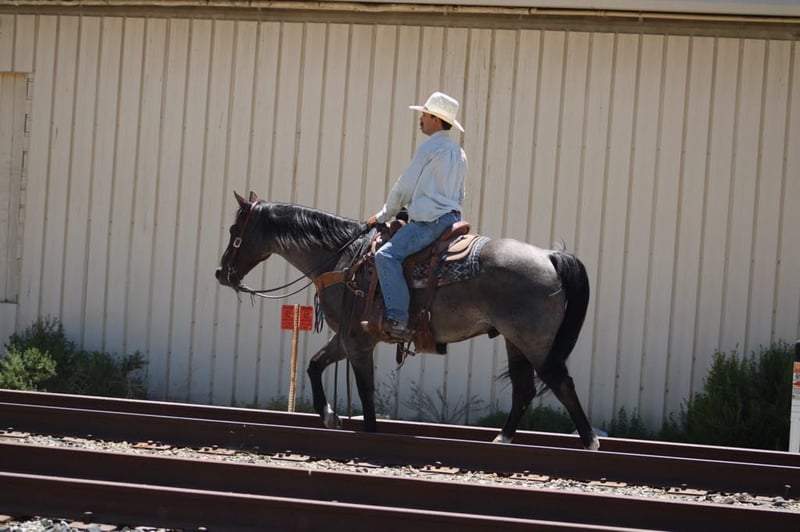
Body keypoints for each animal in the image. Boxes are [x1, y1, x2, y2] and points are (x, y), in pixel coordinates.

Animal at [216, 191, 599, 450]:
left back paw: (590, 443)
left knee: (560, 382)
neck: (343, 258)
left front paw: (368, 430)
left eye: (235, 228)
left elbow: (365, 390)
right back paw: (502, 439)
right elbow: (314, 364)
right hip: (514, 340)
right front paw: (330, 416)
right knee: (524, 388)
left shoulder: (358, 341)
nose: (221, 273)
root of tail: (550, 256)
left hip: (534, 342)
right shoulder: (349, 338)